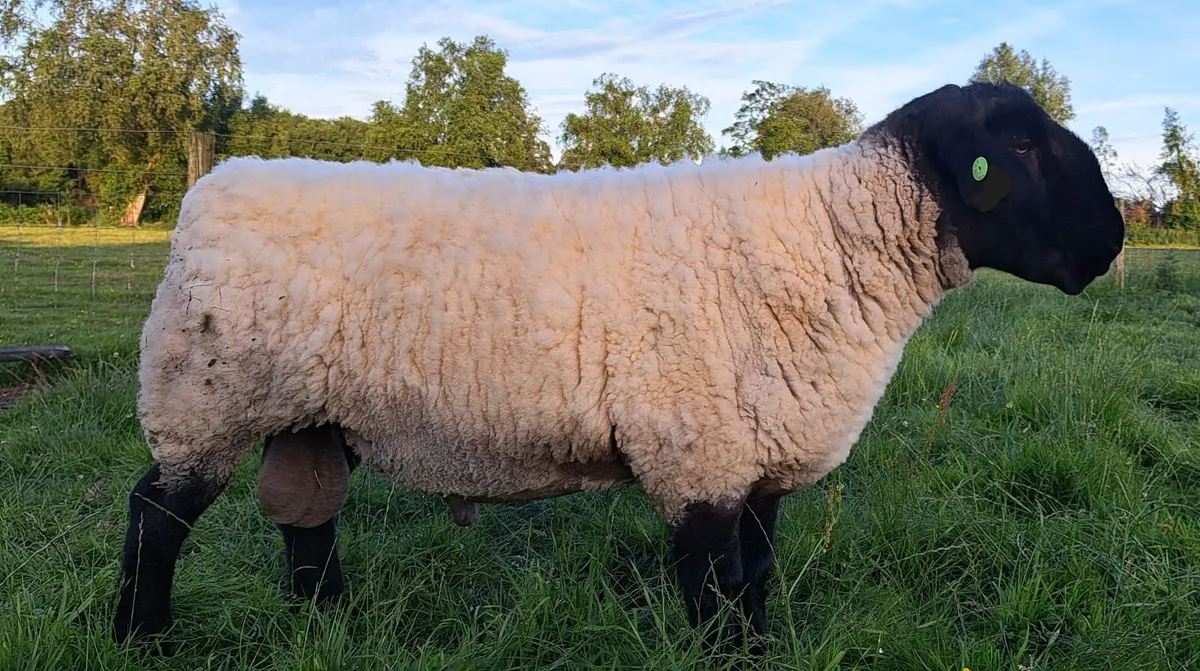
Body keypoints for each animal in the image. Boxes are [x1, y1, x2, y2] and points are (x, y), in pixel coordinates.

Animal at [112, 81, 1125, 654]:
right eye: (1020, 145)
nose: (1113, 241)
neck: (834, 240)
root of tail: (211, 187)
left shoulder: (751, 454)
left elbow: (757, 580)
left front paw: (760, 652)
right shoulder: (697, 451)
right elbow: (718, 592)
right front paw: (728, 655)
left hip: (306, 412)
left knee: (306, 520)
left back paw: (328, 622)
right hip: (204, 395)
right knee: (156, 515)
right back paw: (142, 636)